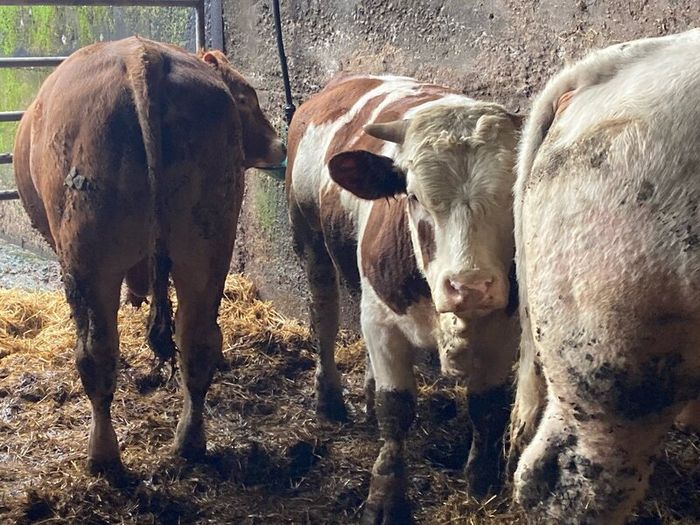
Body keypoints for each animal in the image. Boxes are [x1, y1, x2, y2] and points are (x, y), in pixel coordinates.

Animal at [13, 36, 285, 477]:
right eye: (246, 96)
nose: (279, 144)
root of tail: (140, 55)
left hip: (88, 261)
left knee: (97, 353)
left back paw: (103, 457)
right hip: (207, 248)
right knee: (197, 341)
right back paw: (189, 442)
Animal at [286, 74, 521, 523]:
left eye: (513, 194)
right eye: (413, 196)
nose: (469, 285)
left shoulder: (505, 329)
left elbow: (488, 406)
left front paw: (482, 481)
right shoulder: (383, 322)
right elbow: (395, 409)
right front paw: (385, 499)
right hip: (309, 237)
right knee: (323, 315)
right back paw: (329, 399)